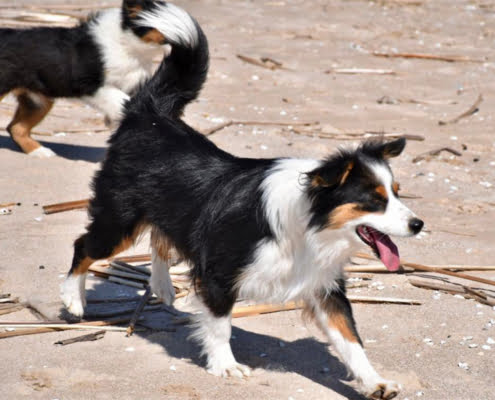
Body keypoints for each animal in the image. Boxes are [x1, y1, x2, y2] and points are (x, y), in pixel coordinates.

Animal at [0, 0, 184, 157]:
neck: (131, 47)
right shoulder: (89, 85)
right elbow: (118, 98)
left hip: (39, 101)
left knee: (16, 128)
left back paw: (40, 152)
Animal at [61, 3, 422, 400]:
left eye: (397, 192)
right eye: (374, 200)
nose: (418, 224)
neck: (311, 222)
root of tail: (152, 115)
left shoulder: (323, 284)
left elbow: (351, 340)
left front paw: (374, 382)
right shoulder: (219, 273)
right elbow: (221, 325)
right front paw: (226, 366)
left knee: (160, 237)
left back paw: (162, 285)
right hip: (119, 221)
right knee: (84, 246)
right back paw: (73, 299)